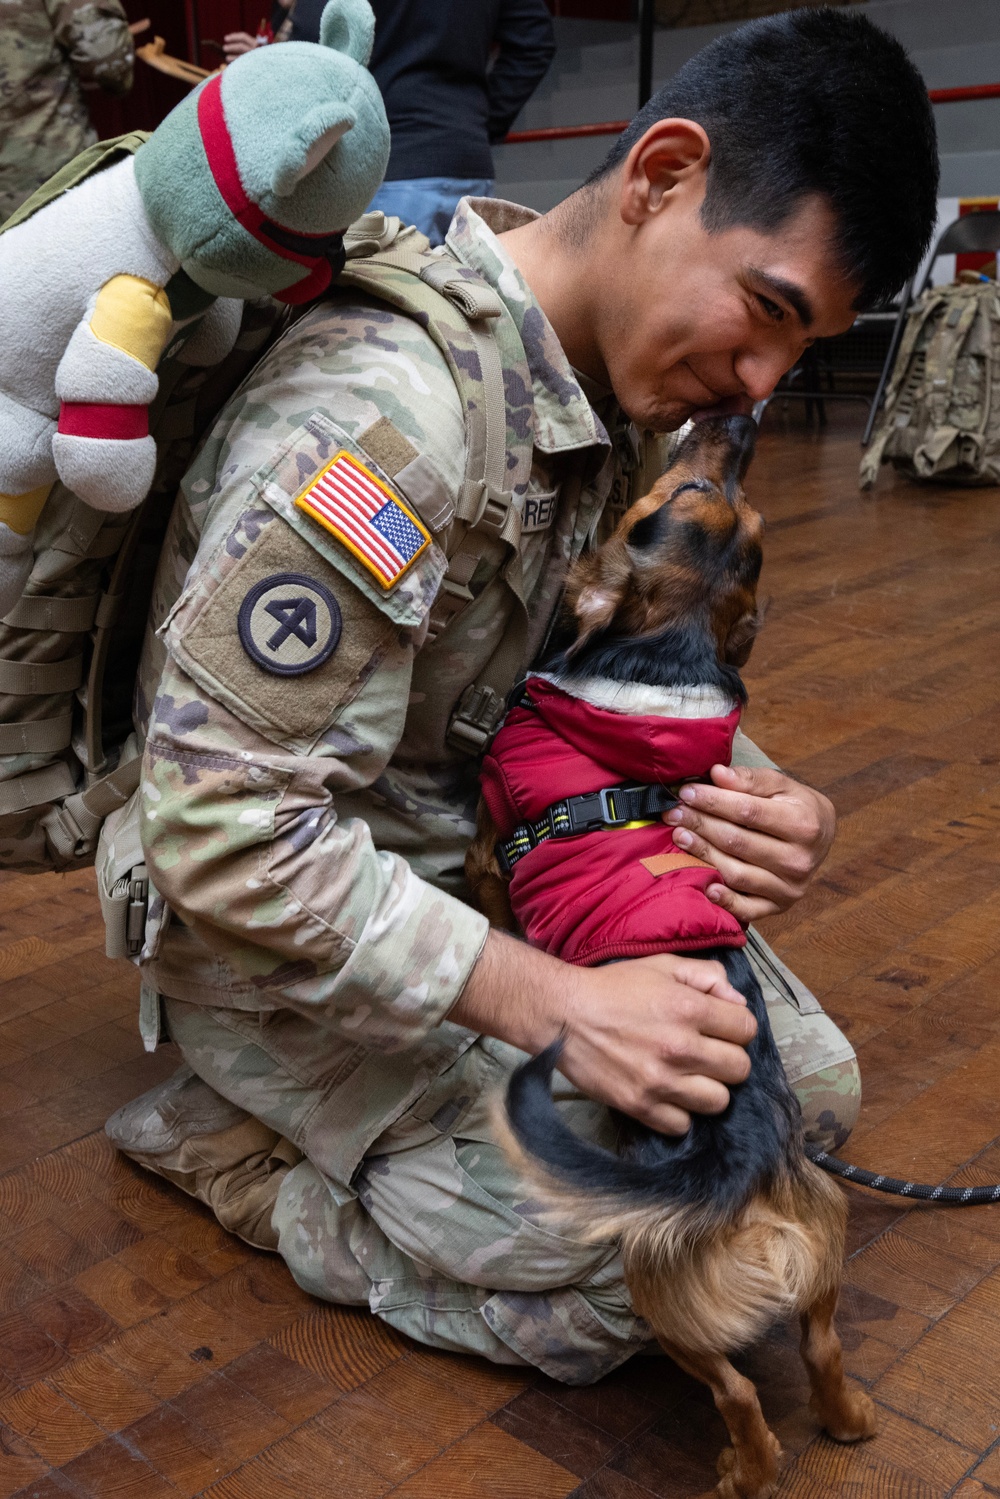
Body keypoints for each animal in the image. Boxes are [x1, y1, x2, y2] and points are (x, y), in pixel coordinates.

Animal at [464, 416, 869, 1499]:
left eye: (666, 497)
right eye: (728, 504)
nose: (746, 417)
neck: (661, 667)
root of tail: (745, 1172)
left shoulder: (490, 840)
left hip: (661, 1288)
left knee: (738, 1393)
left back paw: (742, 1470)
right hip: (824, 1230)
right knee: (822, 1344)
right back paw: (850, 1419)